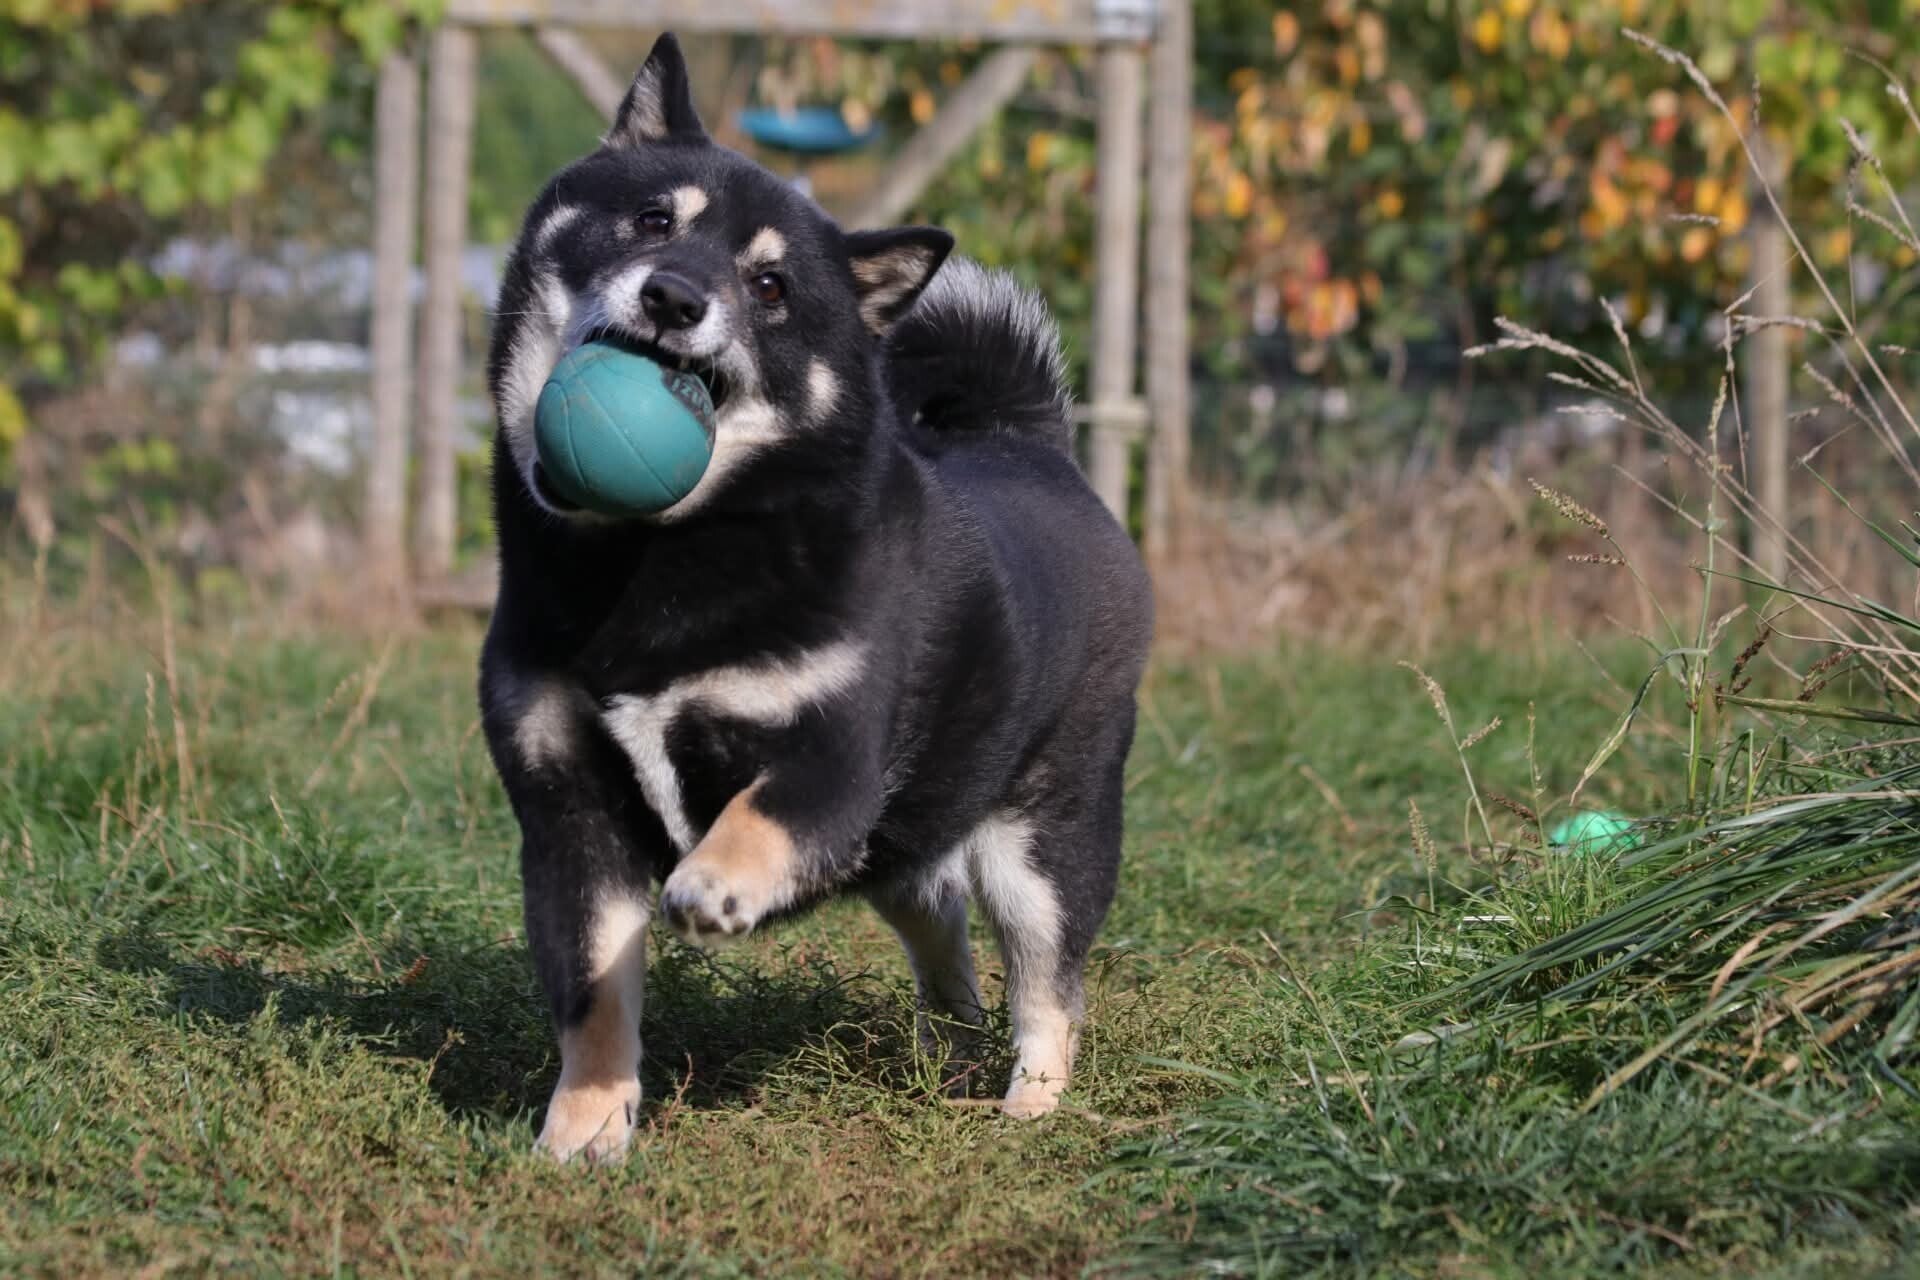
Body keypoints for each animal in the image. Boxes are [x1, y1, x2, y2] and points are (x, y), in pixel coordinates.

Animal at [478, 33, 1153, 1162]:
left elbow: (756, 818)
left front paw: (713, 885)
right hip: (906, 841)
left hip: (1040, 836)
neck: (658, 560)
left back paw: (1028, 1104)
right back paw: (949, 1048)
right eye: (653, 220)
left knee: (1049, 982)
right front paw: (584, 1130)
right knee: (942, 924)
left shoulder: (828, 765)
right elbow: (594, 994)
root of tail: (1032, 446)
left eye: (770, 284)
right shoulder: (569, 815)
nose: (673, 298)